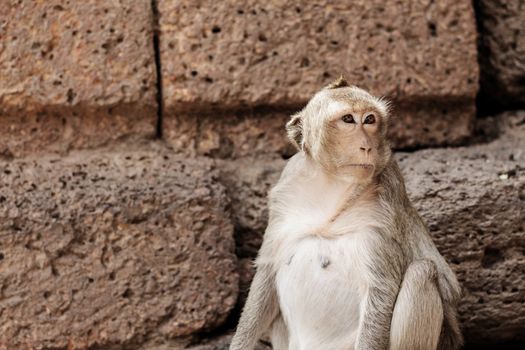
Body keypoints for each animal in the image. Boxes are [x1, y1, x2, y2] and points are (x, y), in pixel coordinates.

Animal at [229, 77, 462, 350]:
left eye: (370, 119)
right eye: (348, 119)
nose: (367, 147)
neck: (333, 184)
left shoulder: (383, 212)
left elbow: (381, 290)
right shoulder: (282, 203)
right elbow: (266, 275)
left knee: (421, 273)